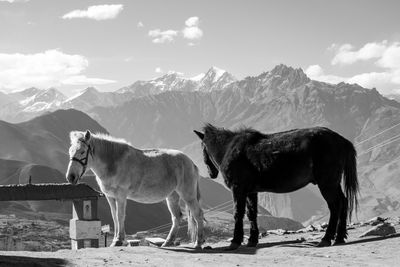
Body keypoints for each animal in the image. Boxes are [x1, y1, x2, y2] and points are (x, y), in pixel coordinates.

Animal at [65, 131, 205, 249]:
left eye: (82, 151)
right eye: (70, 151)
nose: (71, 177)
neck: (113, 162)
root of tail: (191, 162)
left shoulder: (121, 195)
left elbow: (120, 216)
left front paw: (119, 240)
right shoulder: (110, 197)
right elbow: (114, 217)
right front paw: (116, 239)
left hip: (188, 195)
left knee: (197, 214)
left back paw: (198, 243)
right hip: (172, 196)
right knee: (176, 217)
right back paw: (168, 242)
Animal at [195, 124, 360, 250]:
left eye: (203, 147)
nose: (211, 173)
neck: (229, 149)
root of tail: (342, 140)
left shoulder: (238, 189)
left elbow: (238, 214)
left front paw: (235, 242)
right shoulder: (251, 192)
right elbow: (252, 214)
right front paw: (252, 241)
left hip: (327, 183)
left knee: (335, 206)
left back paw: (326, 239)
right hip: (333, 183)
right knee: (343, 202)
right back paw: (339, 237)